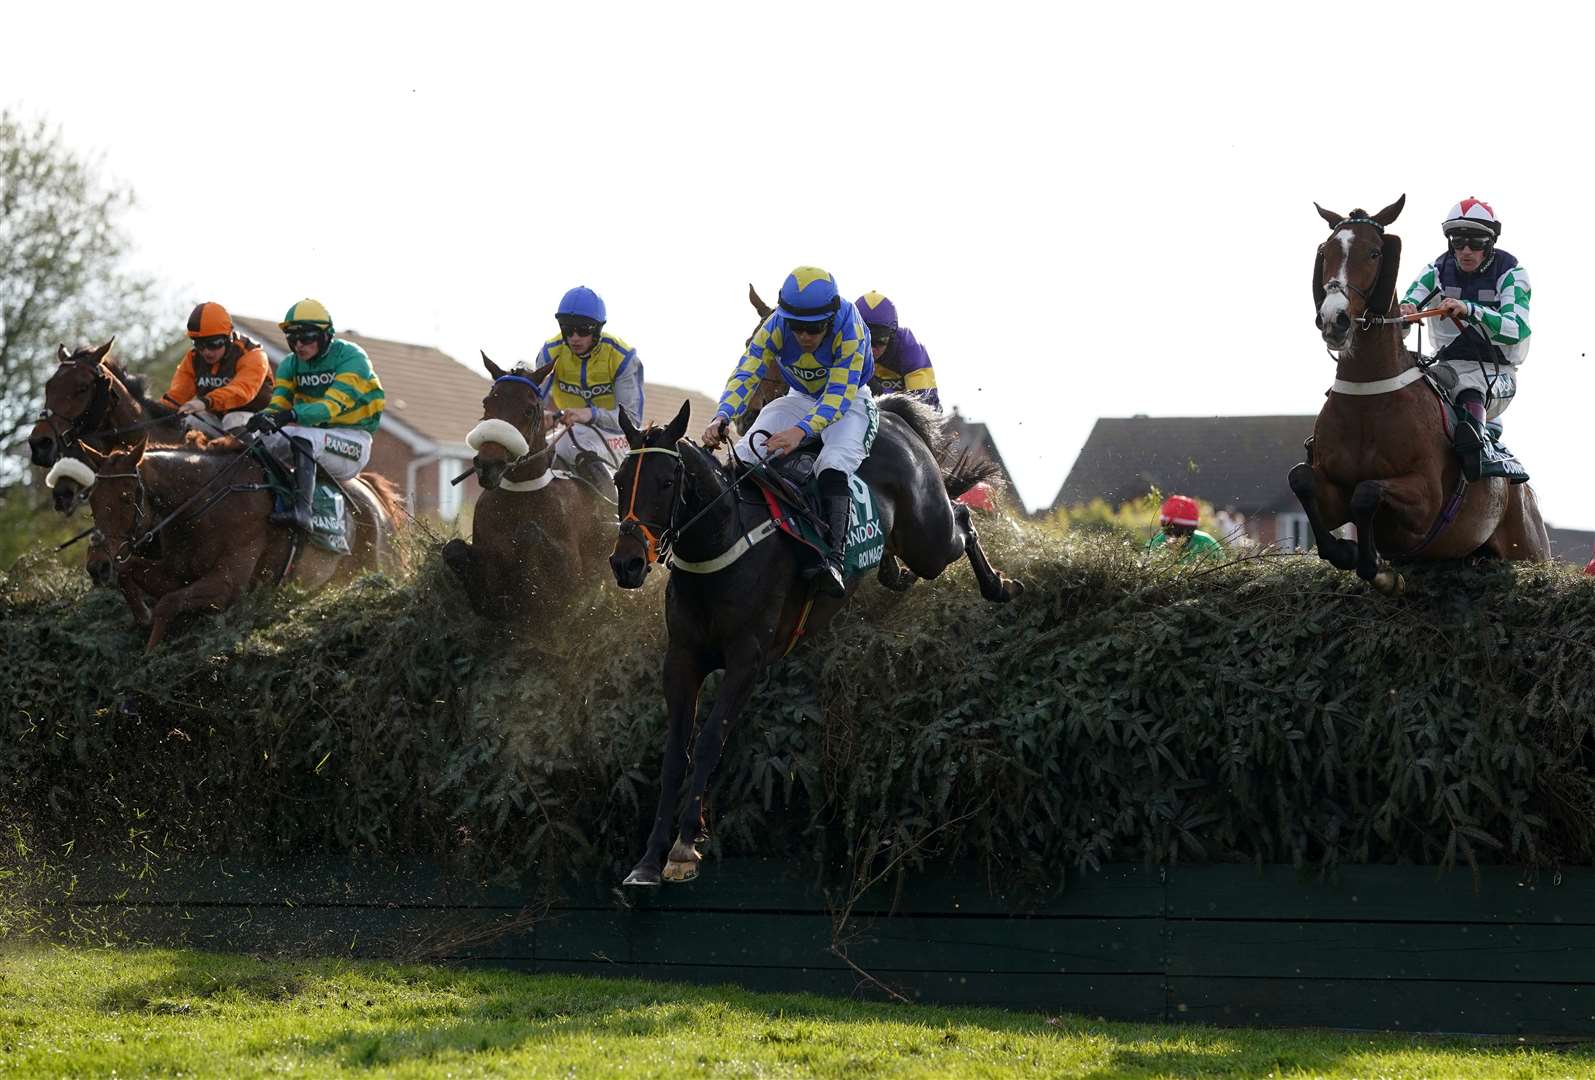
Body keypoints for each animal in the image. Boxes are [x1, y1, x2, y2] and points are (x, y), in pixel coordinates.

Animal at [75, 437, 405, 647]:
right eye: (91, 498)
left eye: (125, 497)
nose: (97, 566)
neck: (201, 504)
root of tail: (372, 494)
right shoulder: (176, 572)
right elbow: (129, 571)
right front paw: (141, 613)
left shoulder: (228, 585)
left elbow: (168, 604)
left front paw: (150, 653)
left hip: (378, 563)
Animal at [440, 354, 612, 618]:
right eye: (486, 402)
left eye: (530, 410)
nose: (489, 465)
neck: (522, 492)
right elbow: (454, 550)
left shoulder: (574, 577)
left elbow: (529, 534)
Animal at [609, 395, 1020, 886]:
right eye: (618, 480)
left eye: (667, 481)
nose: (627, 564)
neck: (723, 543)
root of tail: (891, 411)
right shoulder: (682, 660)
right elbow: (675, 754)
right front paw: (648, 860)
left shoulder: (747, 659)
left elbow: (709, 741)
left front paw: (684, 847)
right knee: (910, 553)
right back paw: (893, 571)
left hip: (930, 537)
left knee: (962, 518)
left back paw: (998, 585)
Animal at [1295, 197, 1543, 593]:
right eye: (1326, 251)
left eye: (1375, 252)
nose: (1334, 319)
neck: (1369, 397)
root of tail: (1524, 491)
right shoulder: (1332, 489)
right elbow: (1301, 479)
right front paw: (1346, 551)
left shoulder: (1426, 500)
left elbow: (1367, 492)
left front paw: (1377, 568)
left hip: (1530, 548)